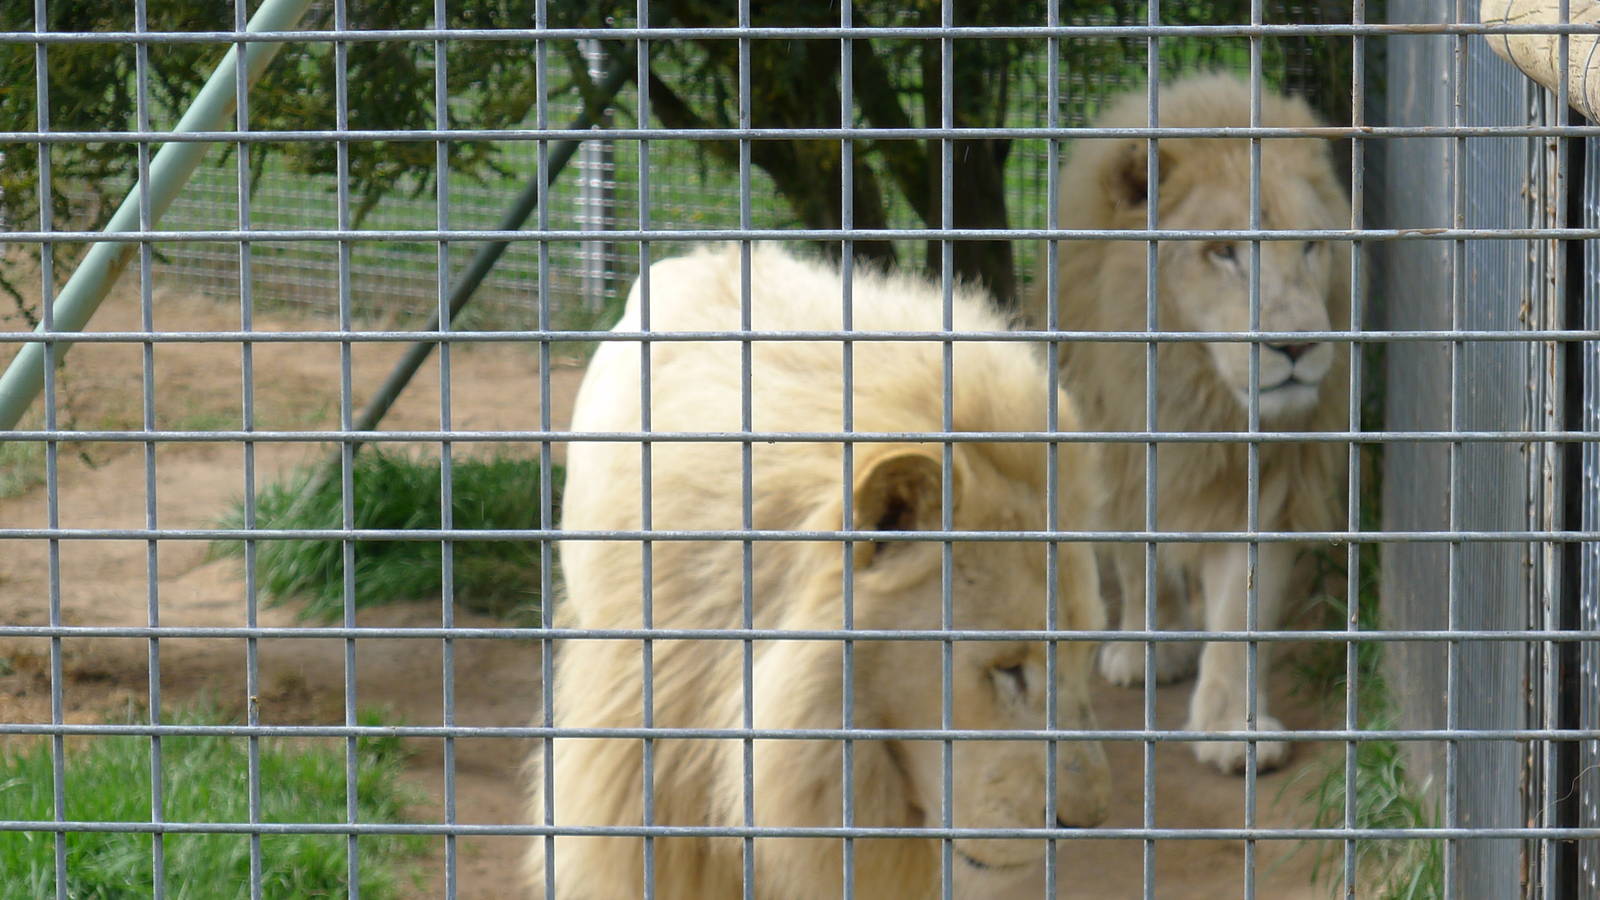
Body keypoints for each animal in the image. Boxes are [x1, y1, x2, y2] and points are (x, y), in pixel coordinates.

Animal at [1022, 73, 1351, 774]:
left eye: (1310, 244)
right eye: (1223, 252)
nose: (1297, 346)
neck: (1197, 397)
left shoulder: (1269, 484)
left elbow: (1241, 611)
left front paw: (1232, 727)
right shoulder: (1117, 460)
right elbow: (1136, 563)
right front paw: (1148, 648)